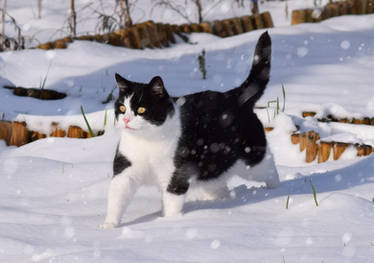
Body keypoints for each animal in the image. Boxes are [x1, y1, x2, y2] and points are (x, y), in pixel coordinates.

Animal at [101, 32, 280, 230]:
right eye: (122, 108)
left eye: (141, 110)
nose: (126, 120)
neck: (148, 142)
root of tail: (234, 96)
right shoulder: (125, 169)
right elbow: (117, 196)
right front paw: (109, 225)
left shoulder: (177, 175)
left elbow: (171, 203)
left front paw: (169, 223)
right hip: (212, 168)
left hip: (252, 161)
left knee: (270, 169)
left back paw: (278, 190)